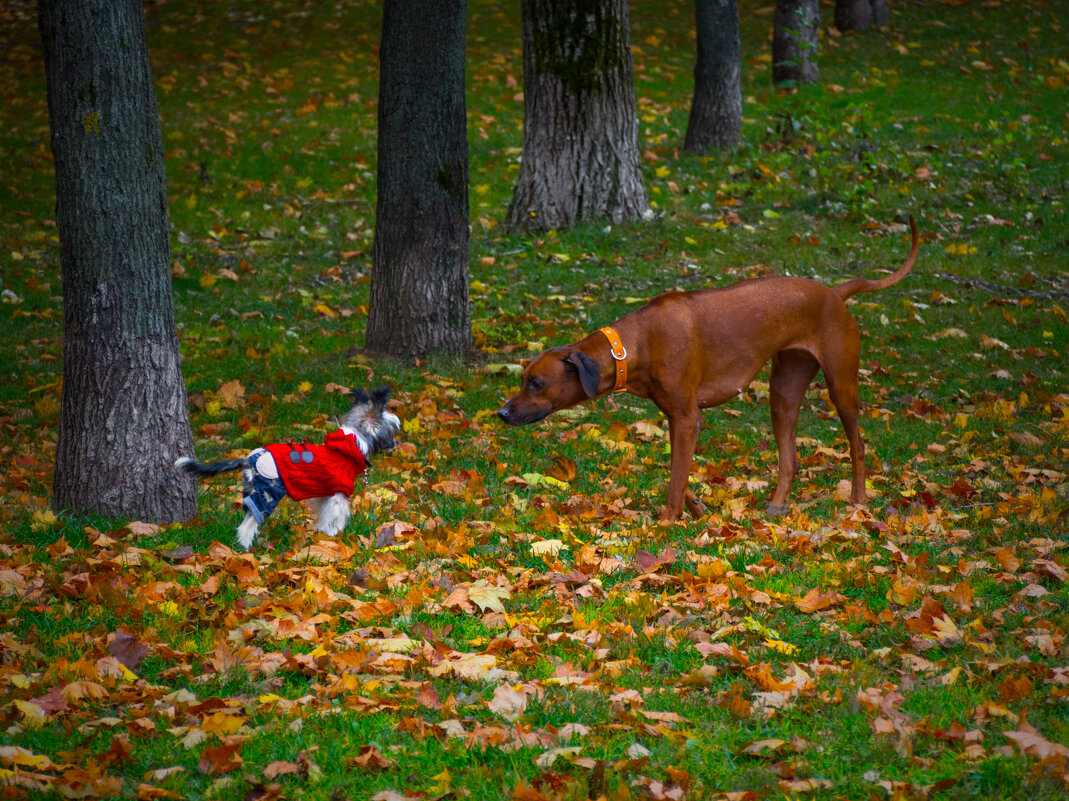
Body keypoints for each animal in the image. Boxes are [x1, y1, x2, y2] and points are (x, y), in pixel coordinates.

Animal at [175, 387, 401, 551]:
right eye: (392, 432)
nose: (397, 444)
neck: (350, 444)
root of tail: (249, 459)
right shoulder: (338, 494)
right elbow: (335, 517)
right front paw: (333, 535)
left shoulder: (325, 495)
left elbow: (323, 514)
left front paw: (321, 533)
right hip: (268, 494)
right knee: (248, 524)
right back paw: (246, 549)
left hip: (253, 491)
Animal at [496, 216, 923, 521]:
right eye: (522, 379)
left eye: (536, 383)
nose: (501, 412)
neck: (630, 346)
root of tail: (833, 294)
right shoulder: (676, 417)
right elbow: (678, 470)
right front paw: (697, 506)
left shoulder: (687, 418)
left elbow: (674, 479)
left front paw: (667, 521)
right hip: (784, 390)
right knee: (790, 459)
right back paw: (777, 504)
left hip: (841, 384)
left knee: (859, 445)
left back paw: (858, 503)